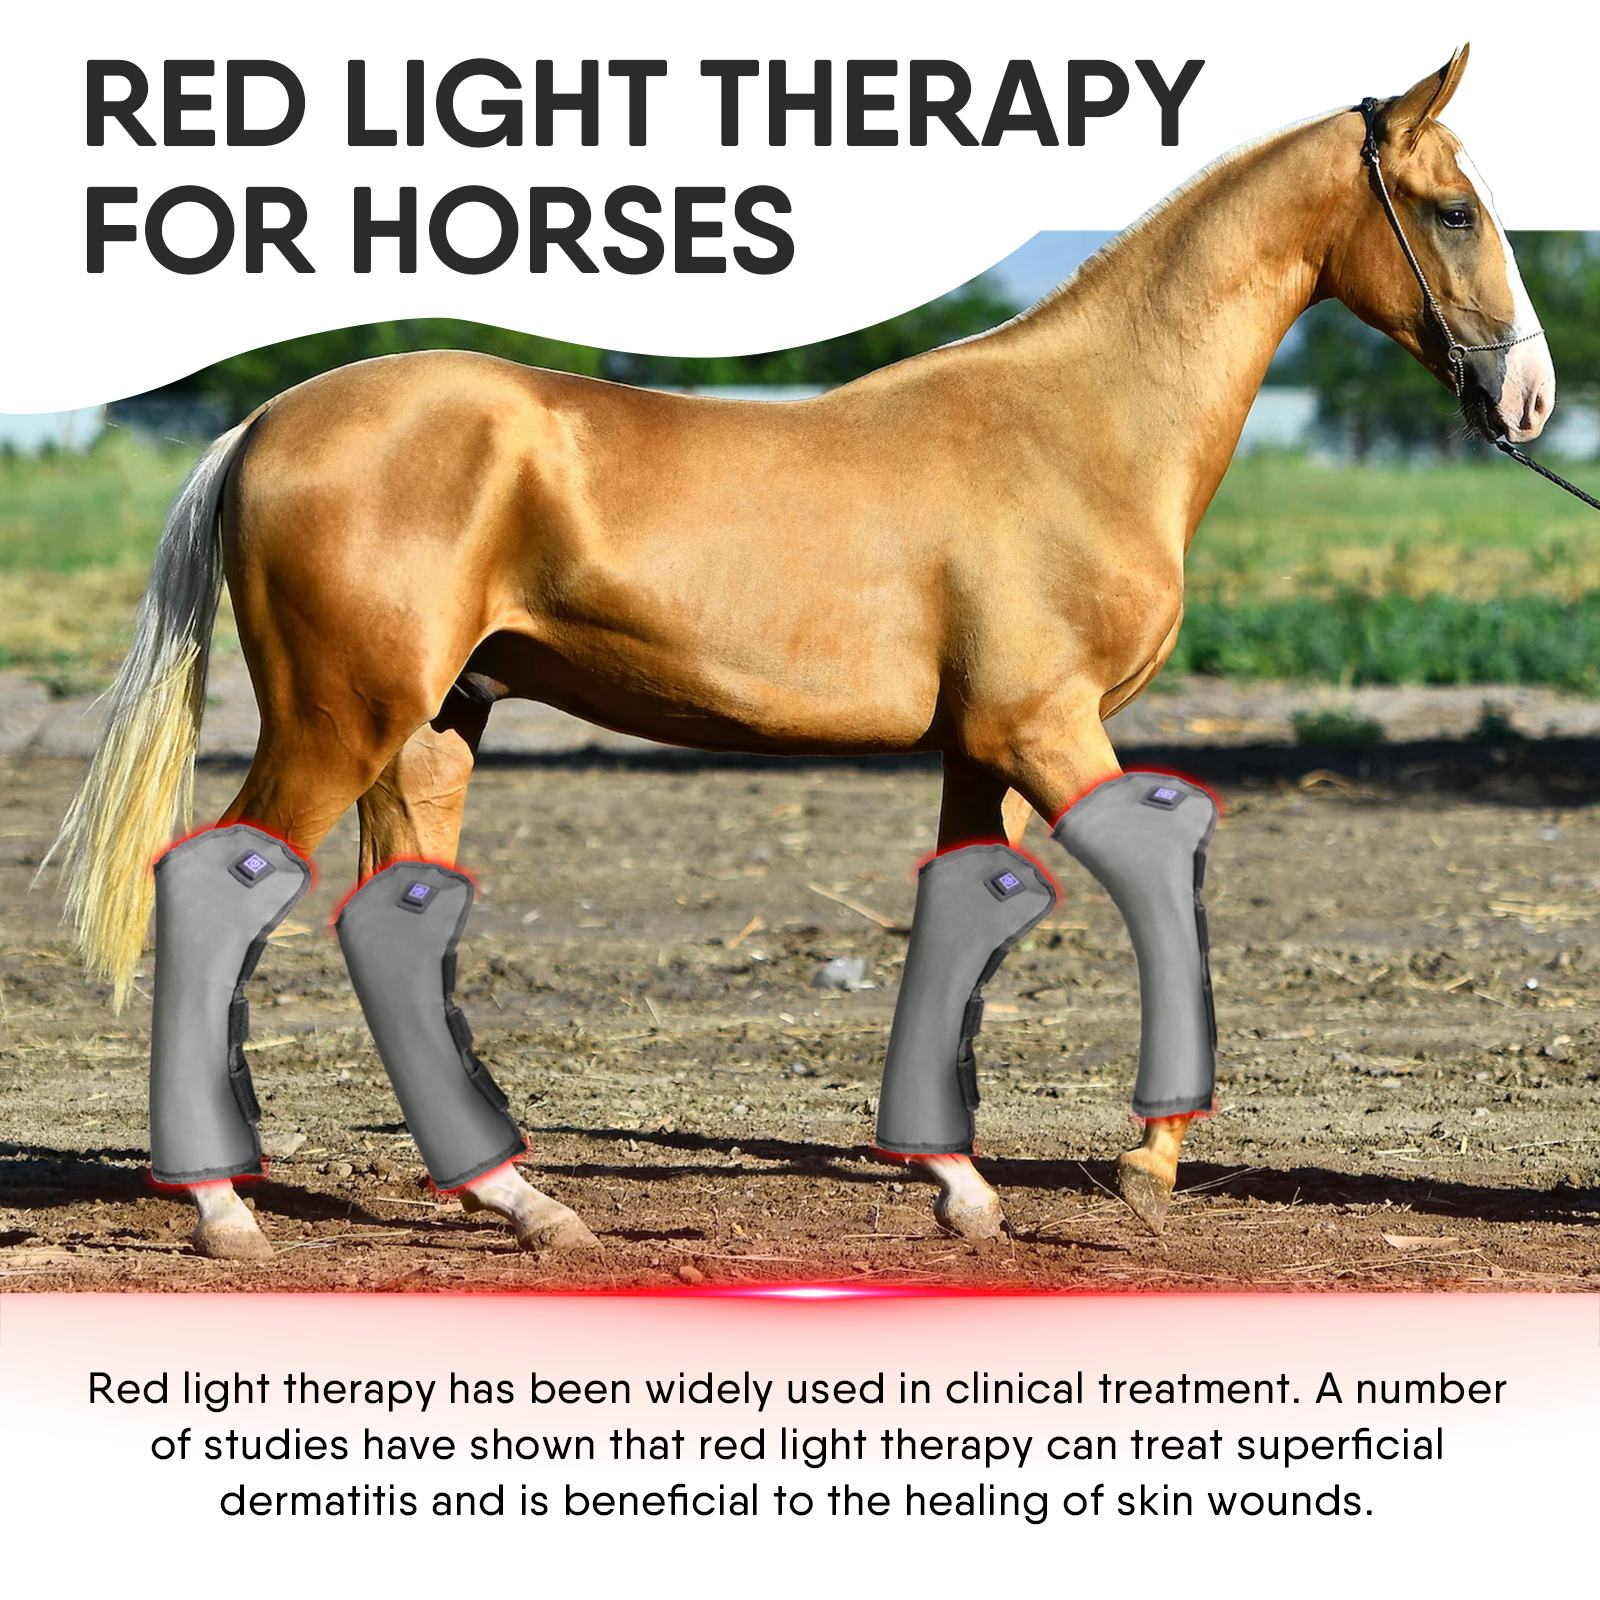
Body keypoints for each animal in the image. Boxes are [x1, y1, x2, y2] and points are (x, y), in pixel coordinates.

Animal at [51, 46, 1555, 1261]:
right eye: (1454, 210)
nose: (1530, 396)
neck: (1080, 424)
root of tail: (267, 424)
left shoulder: (983, 747)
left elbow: (963, 922)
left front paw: (962, 1189)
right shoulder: (1048, 728)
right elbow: (1157, 899)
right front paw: (1143, 1166)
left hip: (429, 734)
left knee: (392, 935)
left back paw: (527, 1207)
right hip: (337, 723)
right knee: (210, 892)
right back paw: (226, 1211)